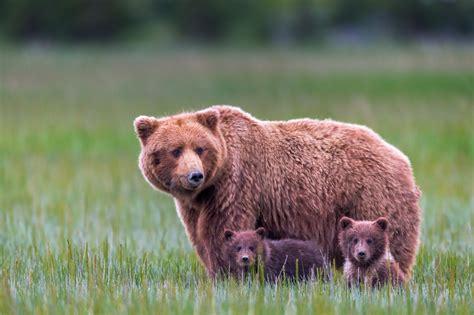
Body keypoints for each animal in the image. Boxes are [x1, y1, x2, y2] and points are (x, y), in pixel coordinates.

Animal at [134, 105, 422, 278]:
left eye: (200, 148)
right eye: (175, 150)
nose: (195, 175)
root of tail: (398, 153)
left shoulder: (236, 185)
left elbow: (223, 230)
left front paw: (229, 275)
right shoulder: (197, 205)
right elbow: (201, 237)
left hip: (371, 194)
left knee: (389, 240)